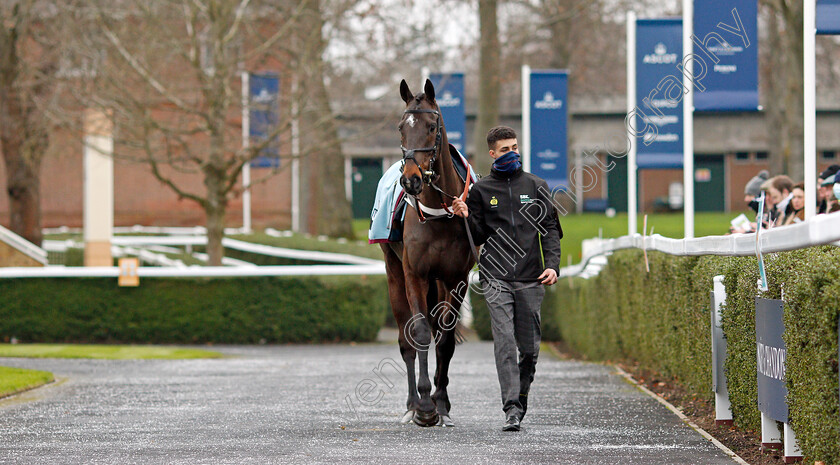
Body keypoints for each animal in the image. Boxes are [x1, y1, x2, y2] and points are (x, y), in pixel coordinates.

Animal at [382, 78, 476, 426]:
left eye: (432, 127)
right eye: (401, 127)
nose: (410, 180)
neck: (439, 214)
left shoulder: (456, 279)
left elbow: (445, 339)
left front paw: (441, 402)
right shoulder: (415, 274)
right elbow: (420, 332)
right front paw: (424, 405)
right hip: (394, 273)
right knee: (405, 339)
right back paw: (411, 402)